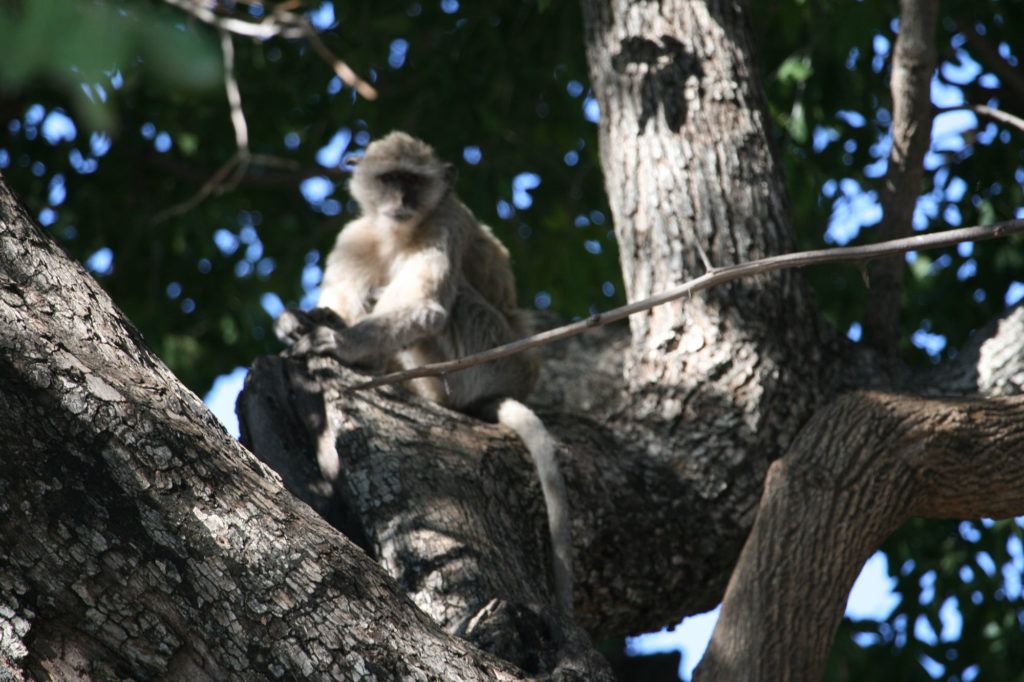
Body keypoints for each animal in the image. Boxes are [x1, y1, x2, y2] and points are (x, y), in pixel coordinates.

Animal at [287, 131, 573, 615]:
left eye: (413, 181)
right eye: (390, 179)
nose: (402, 200)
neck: (397, 233)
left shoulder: (446, 222)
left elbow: (427, 308)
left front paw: (339, 342)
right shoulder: (355, 237)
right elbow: (341, 295)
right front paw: (301, 322)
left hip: (491, 358)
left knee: (450, 302)